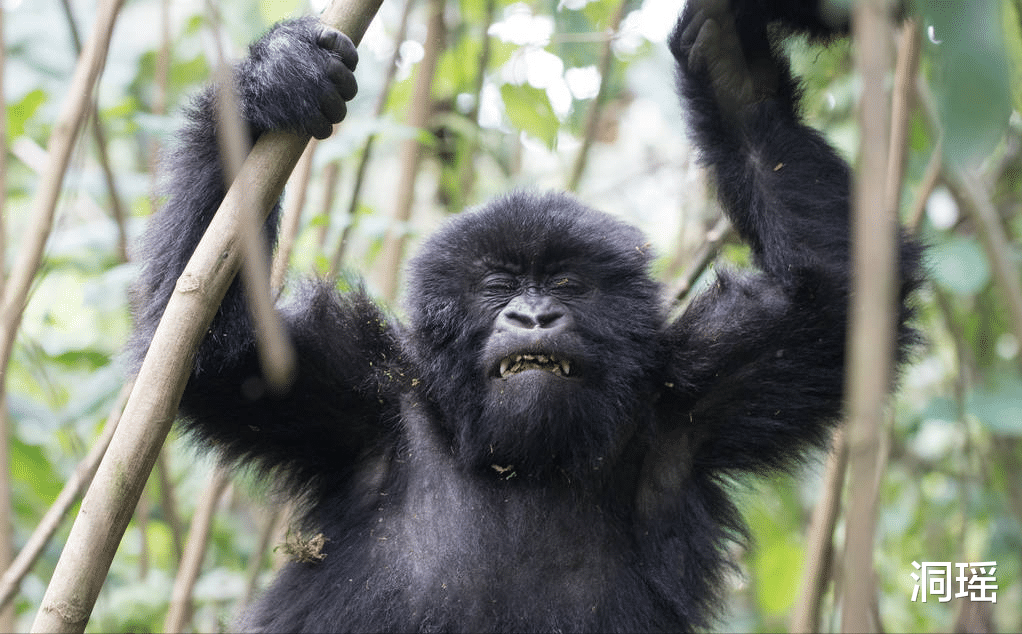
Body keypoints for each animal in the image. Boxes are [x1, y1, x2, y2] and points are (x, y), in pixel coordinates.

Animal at [125, 0, 919, 629]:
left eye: (566, 284)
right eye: (498, 286)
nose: (533, 318)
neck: (523, 460)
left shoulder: (696, 403)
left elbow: (841, 305)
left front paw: (733, 72)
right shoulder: (360, 397)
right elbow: (213, 350)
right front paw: (274, 78)